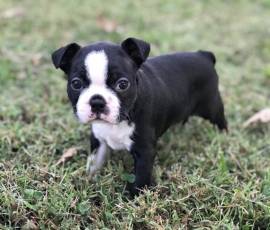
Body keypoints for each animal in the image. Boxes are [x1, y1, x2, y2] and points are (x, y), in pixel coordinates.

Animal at [51, 37, 227, 196]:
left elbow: (141, 177)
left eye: (122, 84)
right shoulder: (98, 139)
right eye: (76, 83)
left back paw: (223, 135)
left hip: (211, 106)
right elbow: (95, 162)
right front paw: (89, 178)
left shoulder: (145, 151)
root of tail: (203, 54)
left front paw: (134, 198)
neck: (118, 121)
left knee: (220, 119)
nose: (97, 101)